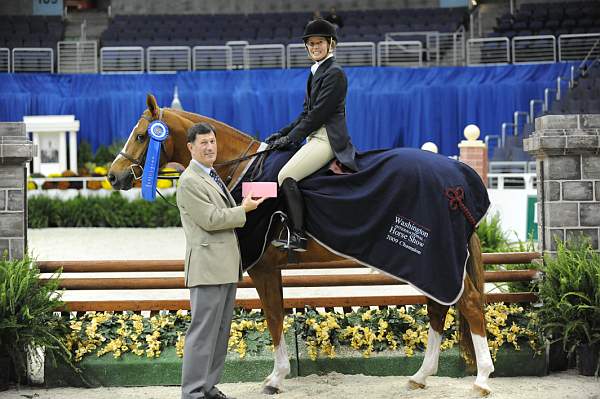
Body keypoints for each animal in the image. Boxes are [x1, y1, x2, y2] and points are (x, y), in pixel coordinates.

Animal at [110, 94, 494, 396]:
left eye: (142, 135)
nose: (114, 176)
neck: (244, 172)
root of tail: (457, 180)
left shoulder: (263, 268)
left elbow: (274, 318)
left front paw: (275, 379)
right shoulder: (271, 269)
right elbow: (277, 315)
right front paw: (278, 375)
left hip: (433, 258)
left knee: (470, 304)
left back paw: (482, 379)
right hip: (429, 263)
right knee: (439, 307)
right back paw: (421, 376)